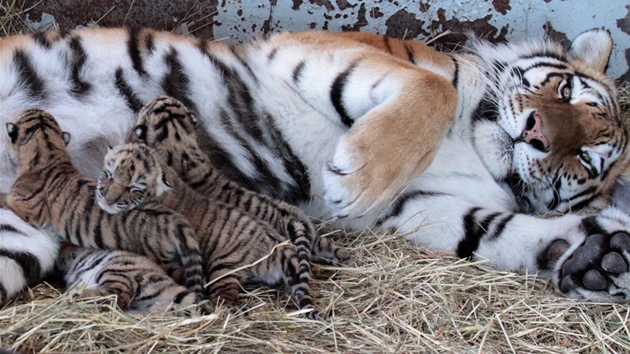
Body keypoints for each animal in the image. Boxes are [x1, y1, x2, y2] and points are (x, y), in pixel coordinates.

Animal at [0, 27, 628, 304]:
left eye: (584, 158)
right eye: (566, 91)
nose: (538, 133)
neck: (477, 147)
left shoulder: (418, 204)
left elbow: (496, 230)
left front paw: (595, 256)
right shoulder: (316, 49)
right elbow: (433, 89)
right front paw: (358, 171)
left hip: (19, 237)